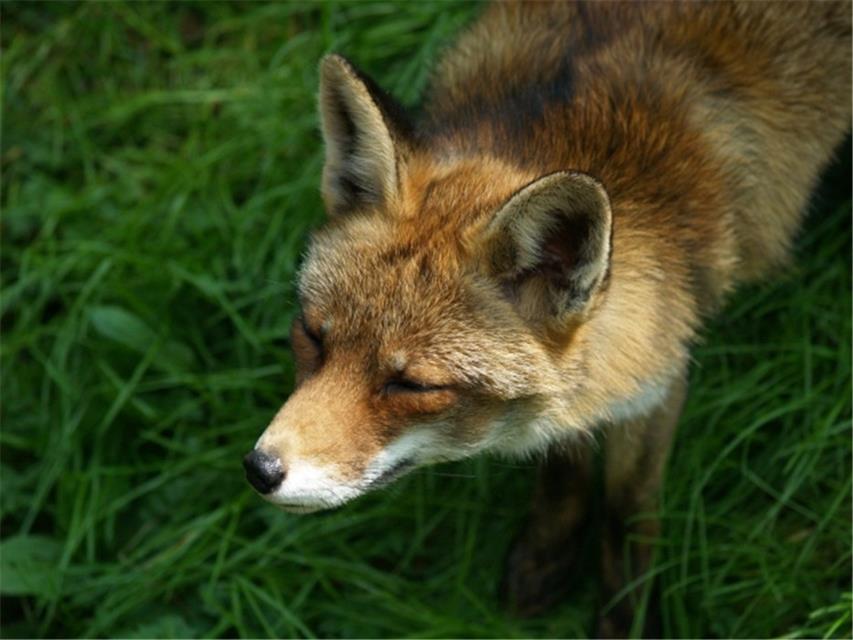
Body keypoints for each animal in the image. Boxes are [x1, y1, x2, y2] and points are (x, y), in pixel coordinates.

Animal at [243, 1, 852, 635]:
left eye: (412, 385)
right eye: (312, 335)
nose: (260, 469)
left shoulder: (658, 383)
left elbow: (626, 510)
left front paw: (625, 614)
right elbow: (564, 467)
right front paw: (548, 554)